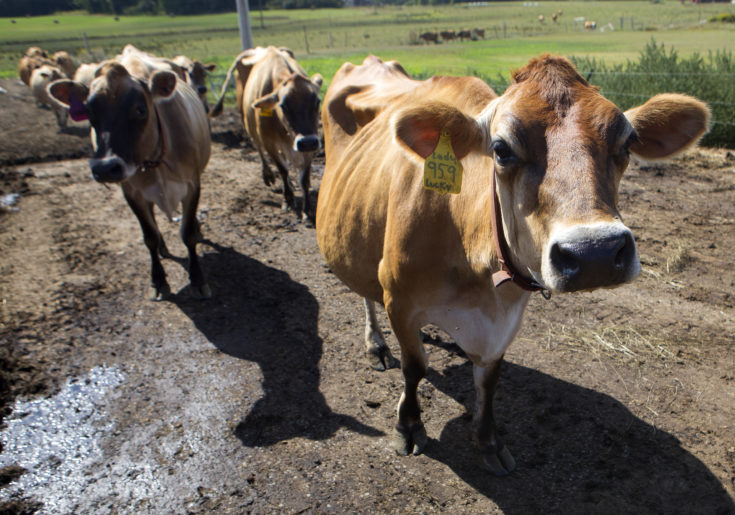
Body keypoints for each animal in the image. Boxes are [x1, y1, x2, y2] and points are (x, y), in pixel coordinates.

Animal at [48, 59, 212, 300]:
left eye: (140, 109)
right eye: (88, 112)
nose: (105, 168)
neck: (154, 160)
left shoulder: (192, 185)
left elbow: (188, 233)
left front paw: (198, 279)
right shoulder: (133, 194)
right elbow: (149, 236)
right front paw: (159, 281)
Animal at [210, 46, 323, 220]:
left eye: (317, 102)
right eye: (283, 105)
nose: (307, 142)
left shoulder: (310, 144)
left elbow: (303, 178)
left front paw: (307, 210)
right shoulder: (269, 142)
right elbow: (282, 169)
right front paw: (288, 200)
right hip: (247, 121)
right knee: (258, 147)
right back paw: (268, 175)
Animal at [316, 54, 709, 474]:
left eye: (628, 141)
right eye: (501, 149)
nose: (595, 252)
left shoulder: (505, 319)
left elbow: (489, 379)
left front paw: (488, 440)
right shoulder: (399, 298)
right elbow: (414, 367)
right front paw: (408, 427)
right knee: (365, 295)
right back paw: (375, 344)